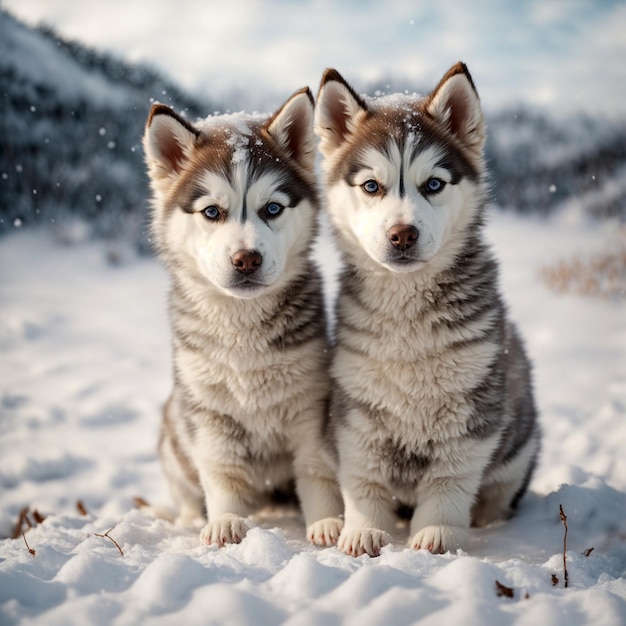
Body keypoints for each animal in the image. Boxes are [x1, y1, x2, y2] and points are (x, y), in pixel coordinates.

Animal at [143, 88, 342, 544]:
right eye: (212, 212)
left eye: (272, 209)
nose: (246, 259)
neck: (242, 327)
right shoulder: (210, 415)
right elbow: (223, 476)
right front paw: (226, 523)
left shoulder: (310, 407)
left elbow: (316, 471)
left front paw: (327, 523)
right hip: (173, 431)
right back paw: (190, 519)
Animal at [314, 64, 540, 556]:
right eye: (371, 186)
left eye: (433, 184)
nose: (403, 234)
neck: (406, 312)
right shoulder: (357, 405)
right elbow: (363, 479)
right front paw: (363, 531)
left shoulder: (472, 406)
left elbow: (449, 480)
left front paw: (437, 533)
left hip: (520, 447)